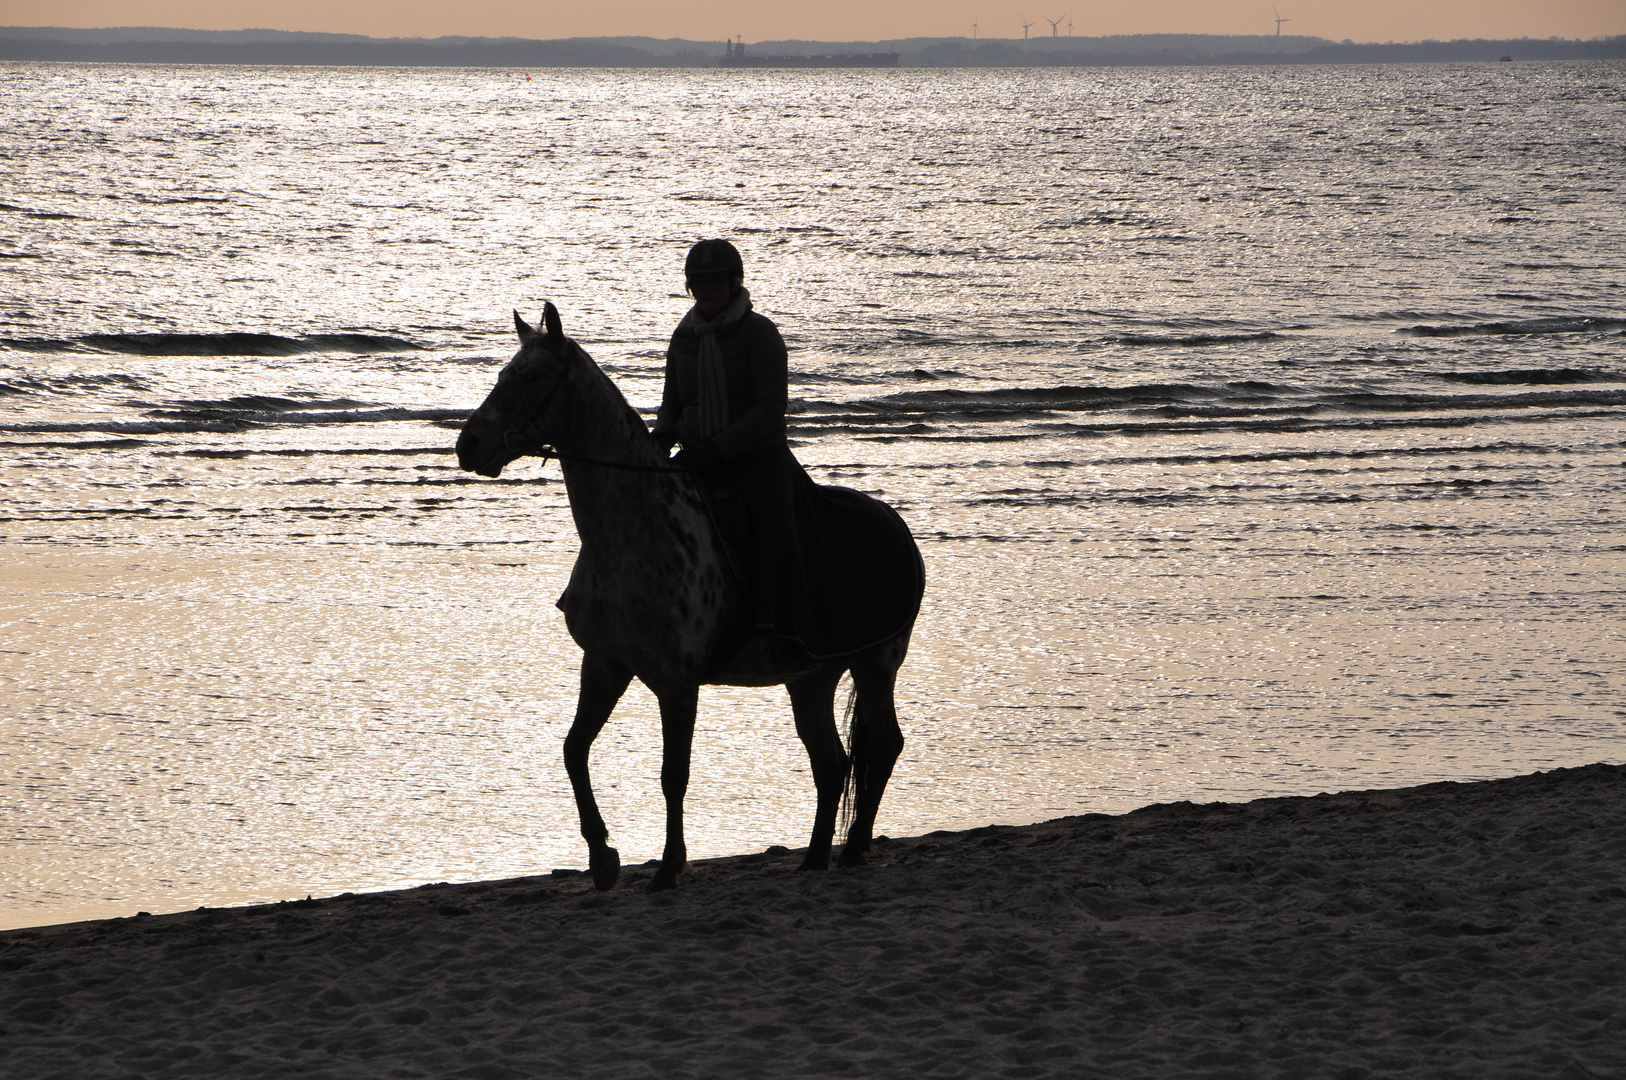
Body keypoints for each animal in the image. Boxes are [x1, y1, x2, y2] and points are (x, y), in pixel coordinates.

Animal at [455, 305, 930, 891]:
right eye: (505, 374)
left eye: (532, 377)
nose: (469, 445)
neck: (636, 531)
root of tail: (897, 527)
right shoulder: (606, 665)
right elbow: (573, 750)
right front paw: (603, 858)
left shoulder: (677, 684)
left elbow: (672, 775)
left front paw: (668, 866)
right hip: (811, 678)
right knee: (832, 763)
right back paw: (817, 855)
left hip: (876, 663)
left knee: (882, 745)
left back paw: (856, 847)